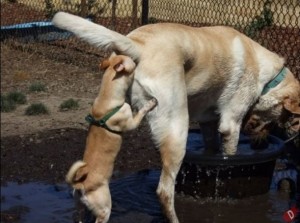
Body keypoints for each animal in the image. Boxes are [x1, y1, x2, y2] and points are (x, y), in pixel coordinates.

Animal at [66, 54, 157, 223]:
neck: (107, 98)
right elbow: (141, 112)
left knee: (78, 217)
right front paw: (150, 103)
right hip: (105, 209)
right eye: (133, 62)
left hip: (79, 207)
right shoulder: (132, 122)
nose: (138, 58)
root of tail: (81, 185)